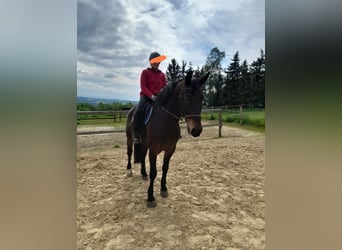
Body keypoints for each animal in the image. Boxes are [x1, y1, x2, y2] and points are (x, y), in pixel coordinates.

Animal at [125, 70, 210, 207]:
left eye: (201, 98)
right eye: (186, 97)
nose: (196, 130)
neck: (165, 120)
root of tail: (131, 110)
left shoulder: (170, 149)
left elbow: (165, 168)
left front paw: (164, 189)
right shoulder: (153, 150)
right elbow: (154, 172)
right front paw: (150, 198)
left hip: (145, 144)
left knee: (142, 156)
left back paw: (143, 174)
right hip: (129, 139)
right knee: (129, 152)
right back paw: (129, 171)